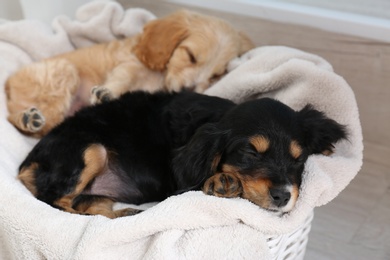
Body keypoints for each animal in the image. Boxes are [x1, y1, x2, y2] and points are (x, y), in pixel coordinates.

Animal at [6, 9, 256, 137]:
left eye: (215, 76)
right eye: (191, 56)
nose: (187, 90)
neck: (160, 77)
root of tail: (8, 82)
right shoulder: (129, 65)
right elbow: (121, 79)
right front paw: (105, 93)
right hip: (64, 73)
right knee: (29, 120)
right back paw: (29, 118)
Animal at [18, 91, 348, 217]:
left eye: (299, 159)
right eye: (250, 152)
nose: (283, 196)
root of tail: (26, 164)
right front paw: (220, 182)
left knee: (86, 204)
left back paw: (125, 213)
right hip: (91, 149)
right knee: (56, 202)